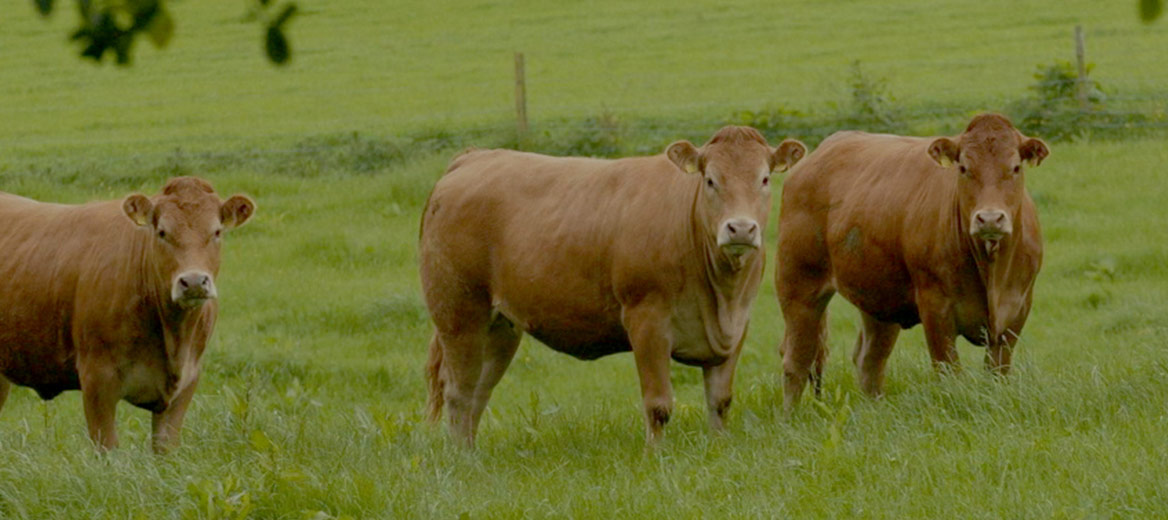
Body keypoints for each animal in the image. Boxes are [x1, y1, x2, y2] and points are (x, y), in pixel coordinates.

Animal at [0, 177, 254, 451]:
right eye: (162, 232)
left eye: (216, 232)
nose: (194, 281)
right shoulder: (97, 379)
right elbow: (108, 448)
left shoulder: (187, 381)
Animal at [415, 126, 808, 446]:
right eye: (710, 180)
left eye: (764, 179)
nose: (740, 228)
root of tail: (474, 157)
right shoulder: (647, 321)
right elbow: (658, 404)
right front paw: (656, 455)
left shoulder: (736, 326)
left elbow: (720, 400)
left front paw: (718, 446)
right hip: (458, 312)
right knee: (458, 392)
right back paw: (461, 458)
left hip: (501, 327)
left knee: (478, 392)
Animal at [775, 112, 1051, 404]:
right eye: (963, 168)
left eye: (1015, 168)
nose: (989, 218)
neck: (991, 270)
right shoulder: (936, 308)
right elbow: (949, 374)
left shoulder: (1016, 312)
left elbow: (997, 373)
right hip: (798, 285)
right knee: (797, 361)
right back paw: (790, 414)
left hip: (879, 298)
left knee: (870, 360)